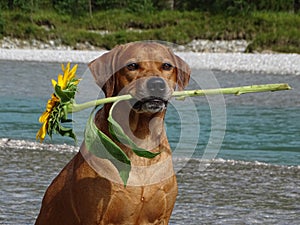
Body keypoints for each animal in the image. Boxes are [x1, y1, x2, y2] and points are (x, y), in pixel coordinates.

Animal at [35, 42, 190, 225]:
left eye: (167, 66)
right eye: (132, 66)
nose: (157, 84)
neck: (140, 140)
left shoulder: (162, 217)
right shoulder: (97, 216)